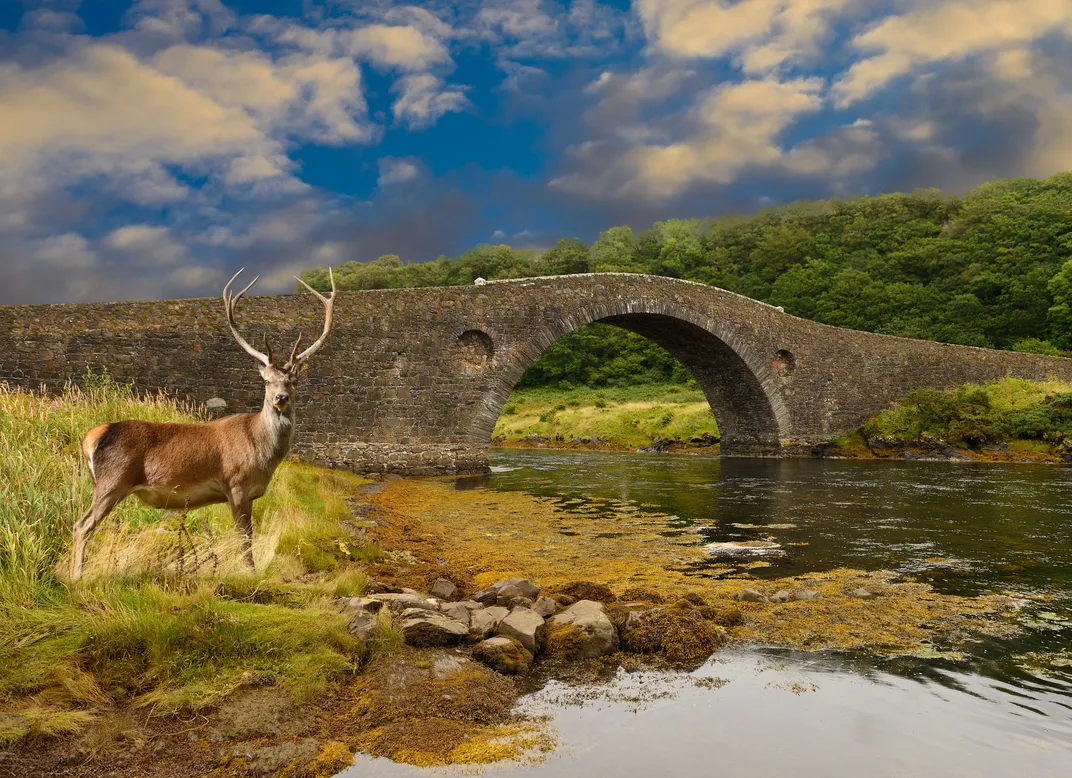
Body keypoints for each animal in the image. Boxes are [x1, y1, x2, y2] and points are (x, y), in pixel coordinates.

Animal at [71, 268, 336, 580]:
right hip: (112, 481)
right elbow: (244, 535)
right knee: (82, 525)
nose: (280, 398)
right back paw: (76, 576)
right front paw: (250, 572)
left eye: (293, 381)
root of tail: (91, 436)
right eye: (267, 381)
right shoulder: (236, 482)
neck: (262, 453)